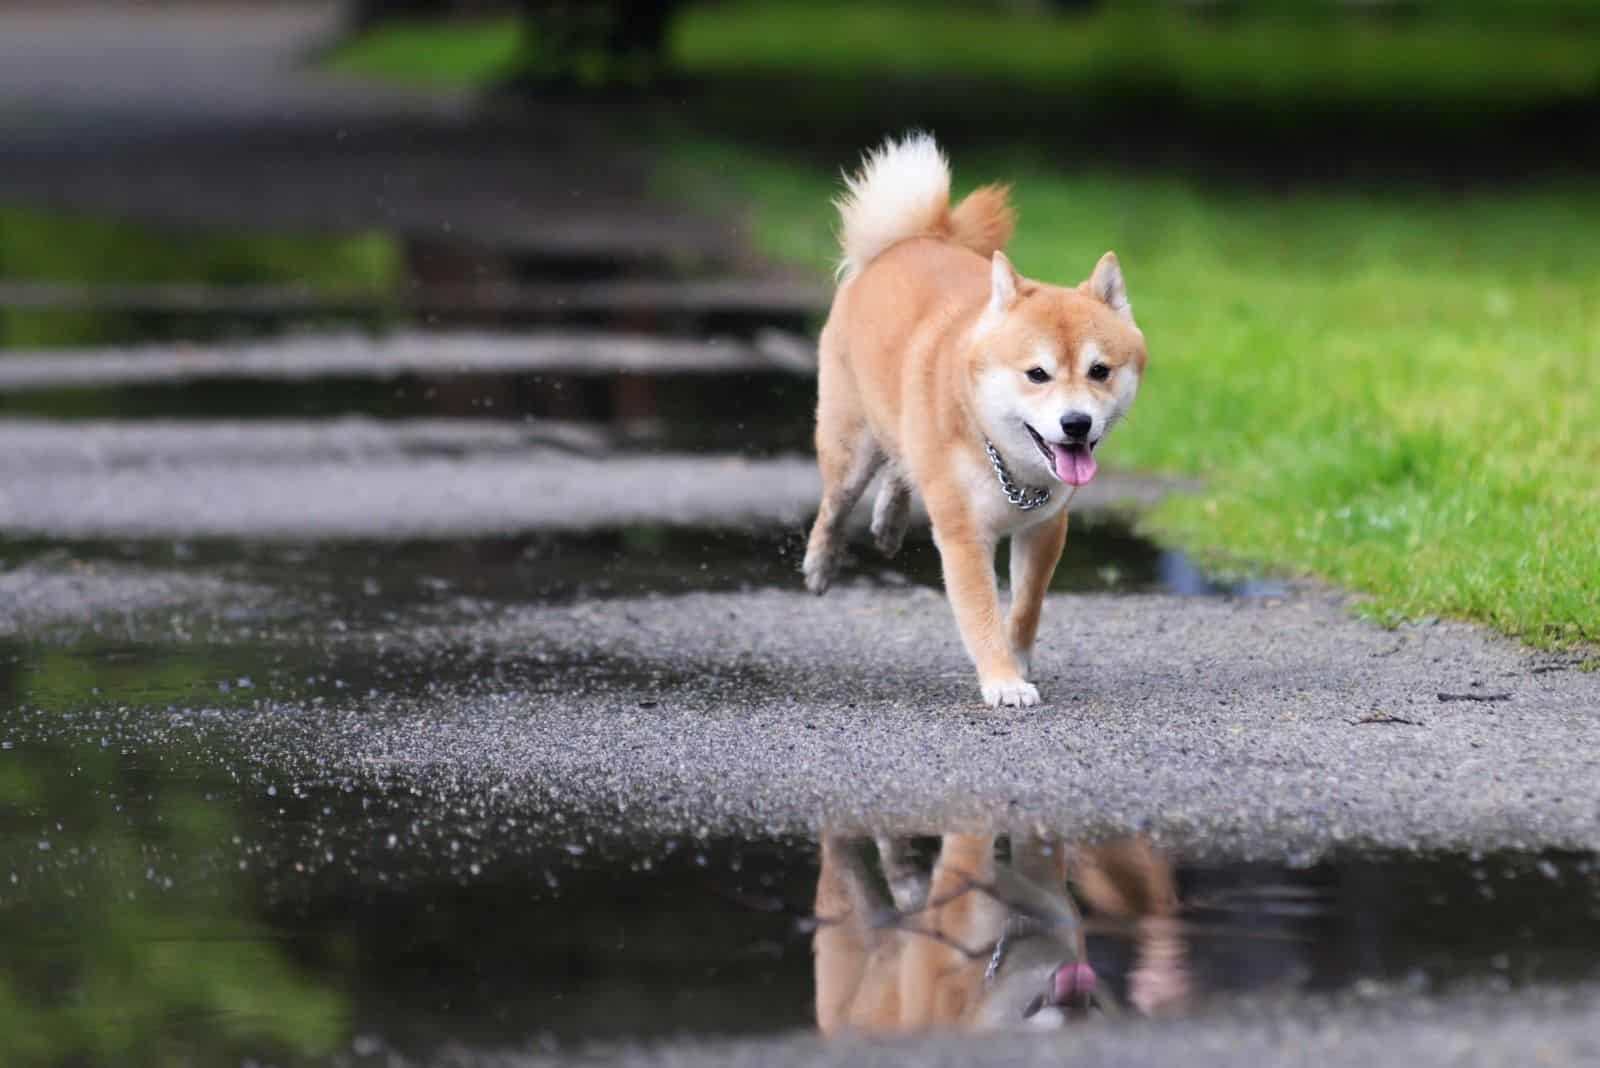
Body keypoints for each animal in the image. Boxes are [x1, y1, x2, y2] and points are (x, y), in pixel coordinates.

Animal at [806, 133, 1145, 703]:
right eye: (1037, 374)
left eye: (1099, 371)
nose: (1076, 424)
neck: (1007, 463)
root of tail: (910, 239)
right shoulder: (964, 536)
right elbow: (981, 613)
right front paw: (1003, 679)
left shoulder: (1045, 529)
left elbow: (1026, 606)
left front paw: (1018, 658)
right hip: (850, 446)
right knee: (835, 503)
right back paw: (820, 560)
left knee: (900, 466)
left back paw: (889, 520)